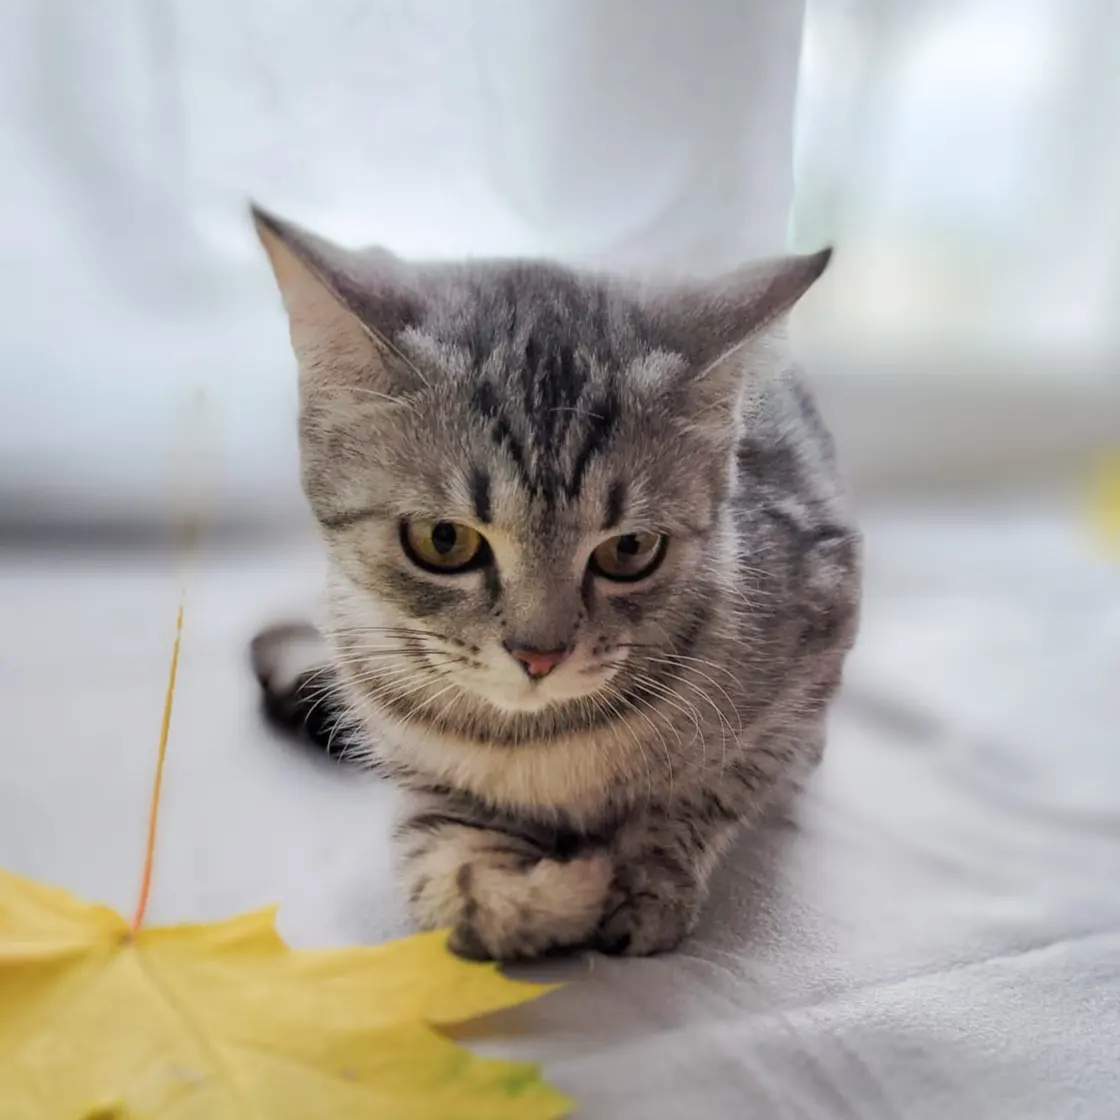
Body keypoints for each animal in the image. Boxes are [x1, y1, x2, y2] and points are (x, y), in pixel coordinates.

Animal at [249, 210, 855, 963]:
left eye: (630, 549)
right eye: (443, 541)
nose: (540, 656)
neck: (539, 741)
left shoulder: (817, 640)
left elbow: (712, 788)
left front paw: (644, 874)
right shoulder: (417, 769)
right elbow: (455, 886)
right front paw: (563, 888)